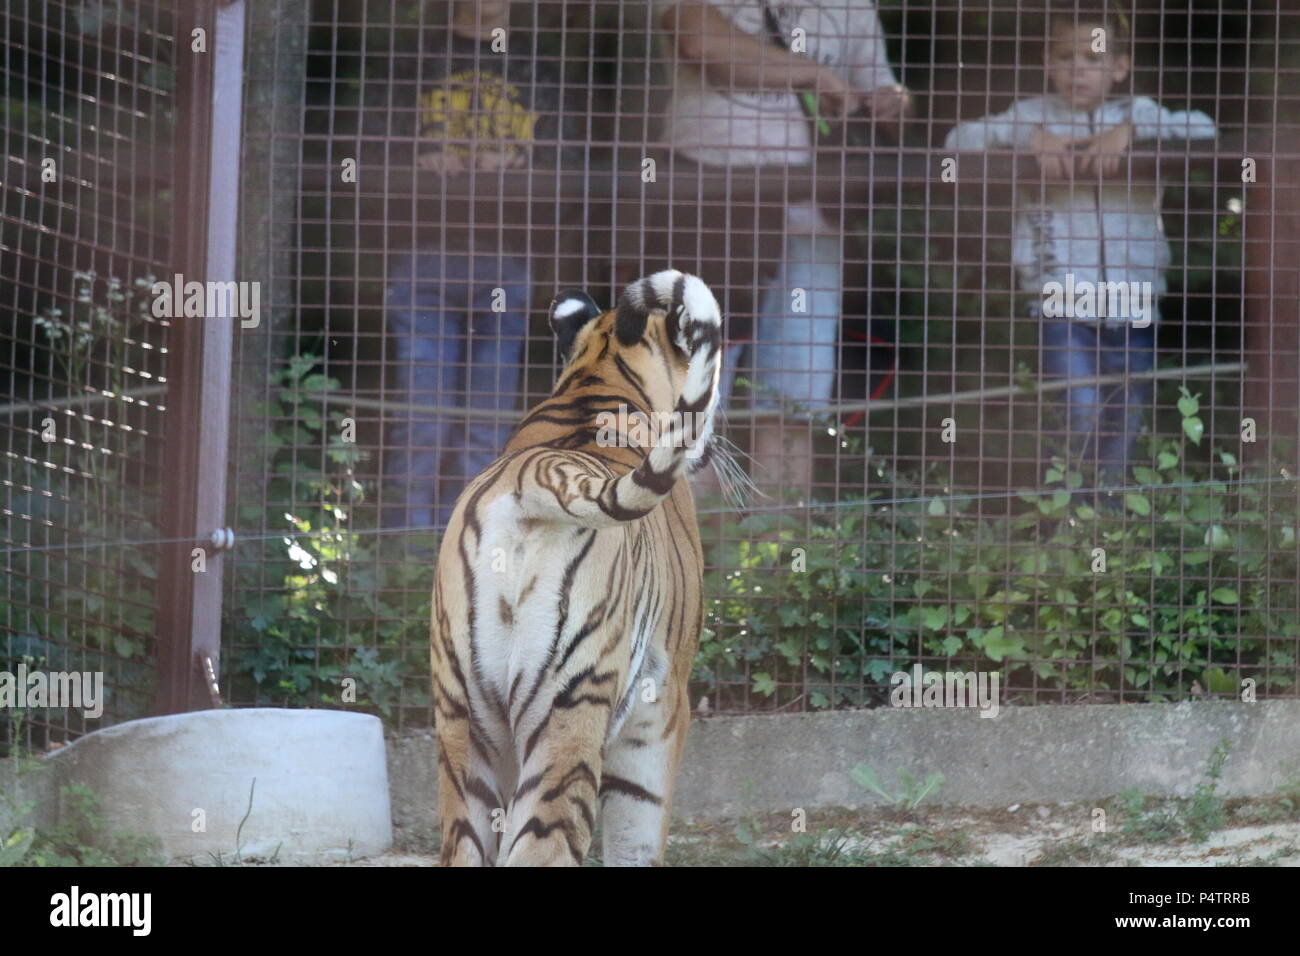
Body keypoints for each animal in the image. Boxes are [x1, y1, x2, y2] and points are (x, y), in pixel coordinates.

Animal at [431, 265, 728, 863]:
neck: (595, 381)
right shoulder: (661, 704)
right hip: (567, 709)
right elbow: (640, 825)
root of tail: (533, 475)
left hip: (462, 722)